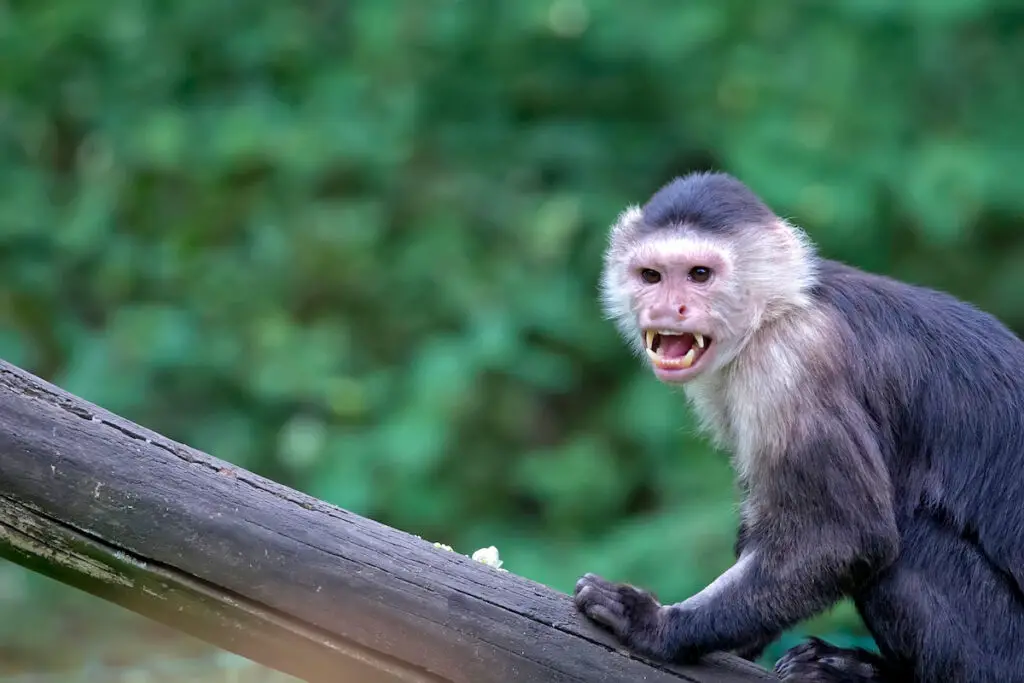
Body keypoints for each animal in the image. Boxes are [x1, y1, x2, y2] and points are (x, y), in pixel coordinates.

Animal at [573, 171, 1024, 683]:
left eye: (699, 275)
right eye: (651, 276)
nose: (670, 307)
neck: (778, 309)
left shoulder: (792, 358)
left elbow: (845, 537)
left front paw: (658, 626)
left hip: (1003, 654)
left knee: (908, 541)